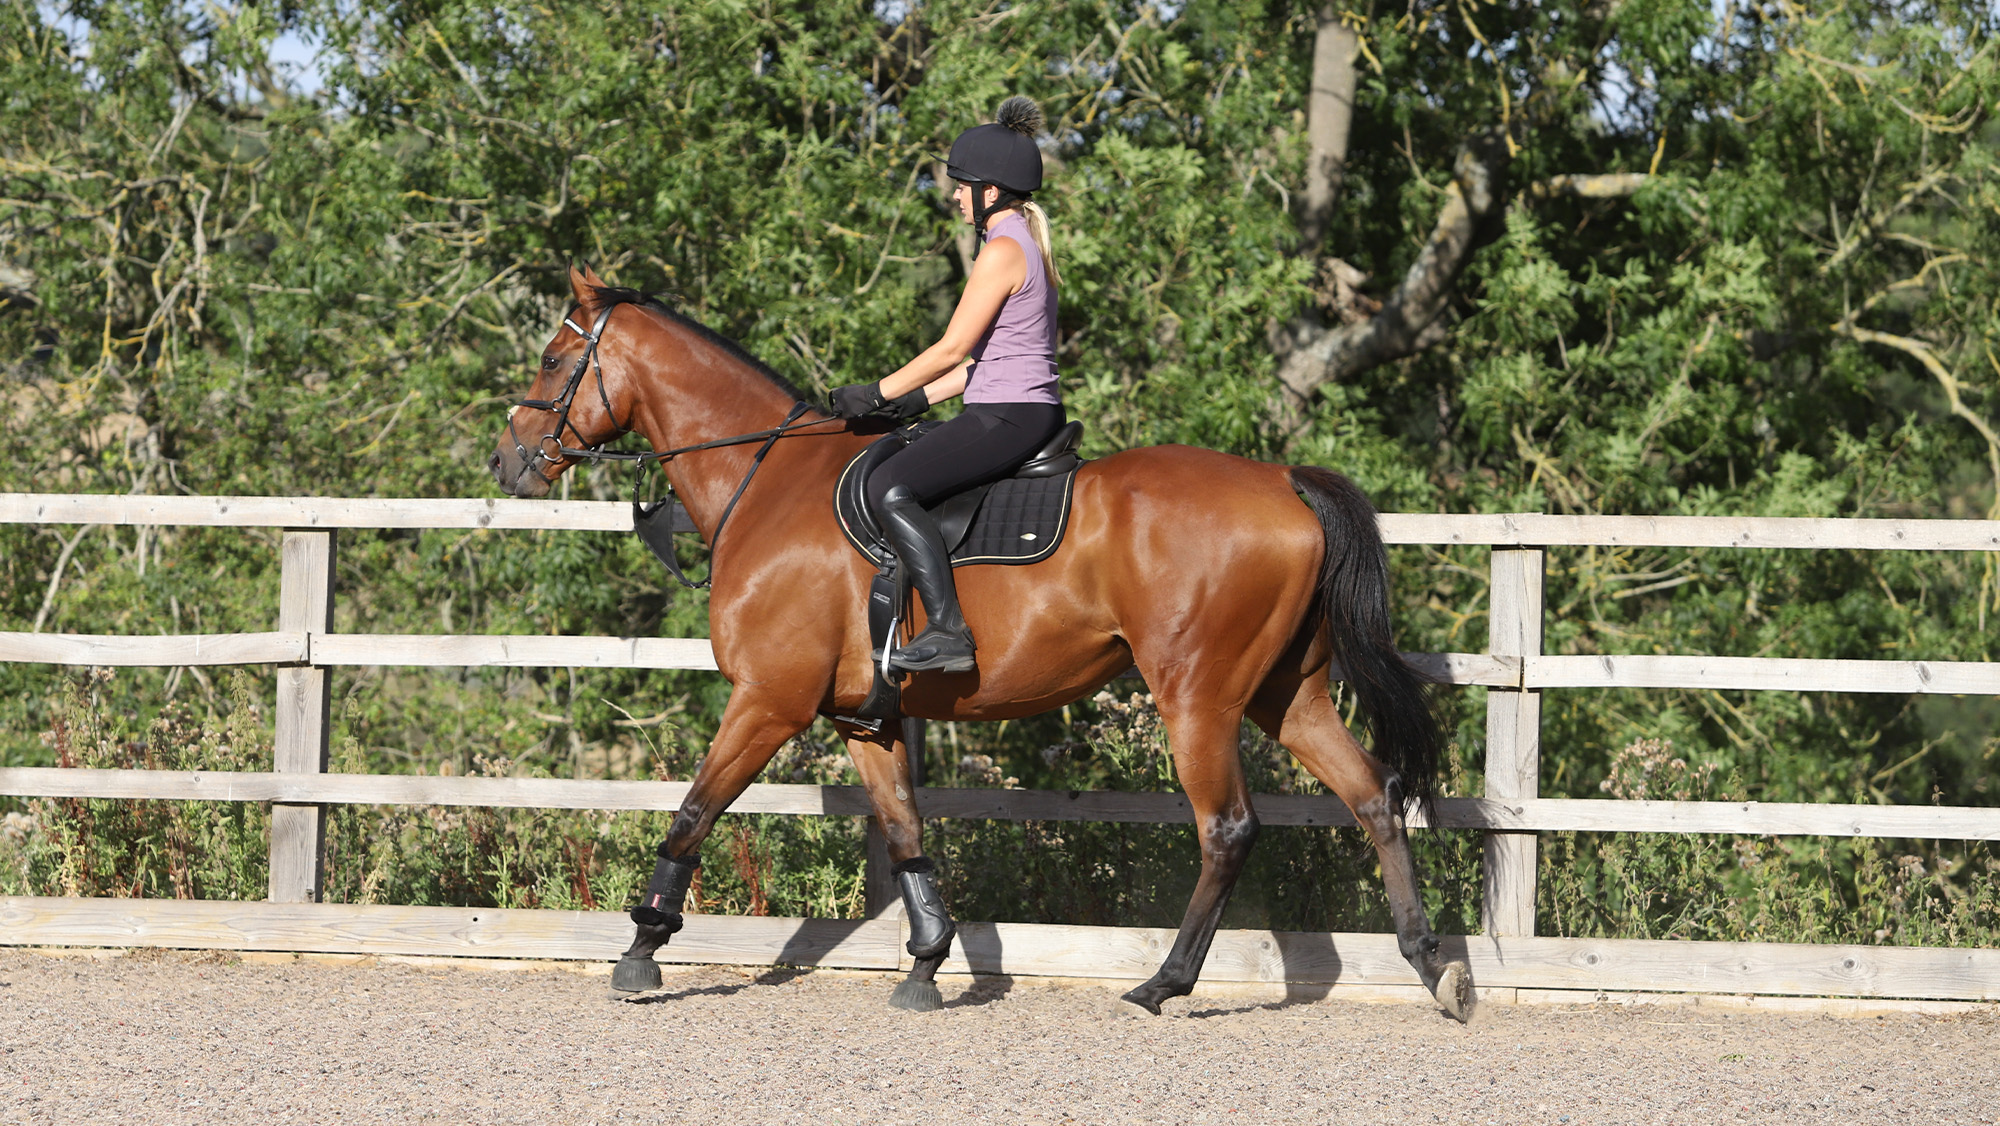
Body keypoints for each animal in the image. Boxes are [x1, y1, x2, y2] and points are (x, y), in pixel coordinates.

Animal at [489, 265, 1473, 1020]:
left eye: (554, 358)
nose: (508, 461)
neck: (766, 481)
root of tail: (1280, 480)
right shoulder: (863, 719)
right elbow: (905, 833)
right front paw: (927, 962)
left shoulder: (768, 700)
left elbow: (694, 811)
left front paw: (641, 950)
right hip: (1286, 694)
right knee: (1374, 797)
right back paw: (1435, 968)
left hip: (1197, 695)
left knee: (1228, 829)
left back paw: (1163, 983)